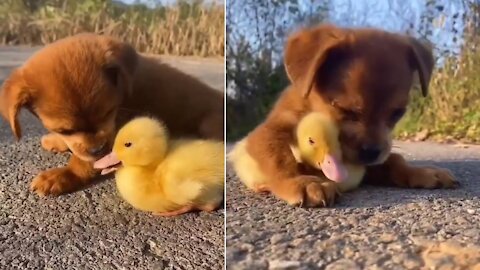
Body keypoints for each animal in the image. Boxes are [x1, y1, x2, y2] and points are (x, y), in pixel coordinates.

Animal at [0, 33, 224, 196]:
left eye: (108, 112)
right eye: (65, 130)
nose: (98, 149)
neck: (123, 88)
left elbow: (83, 163)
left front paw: (64, 175)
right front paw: (56, 142)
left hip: (209, 124)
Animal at [242, 24, 456, 207]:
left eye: (397, 113)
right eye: (346, 110)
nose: (371, 152)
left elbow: (394, 161)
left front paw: (421, 171)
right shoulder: (267, 132)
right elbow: (279, 157)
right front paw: (302, 181)